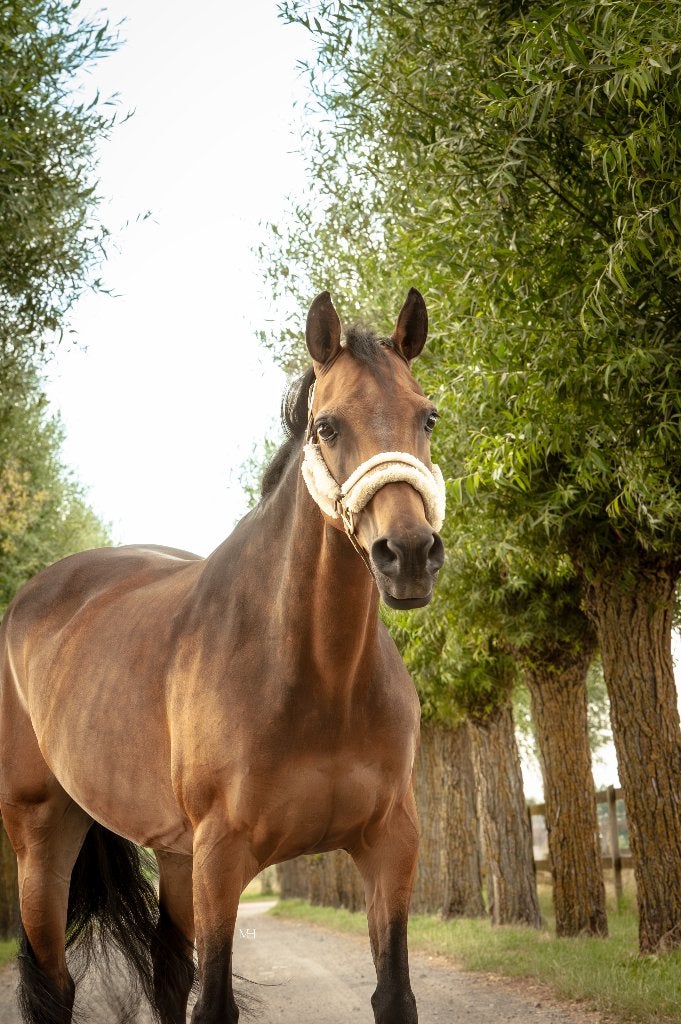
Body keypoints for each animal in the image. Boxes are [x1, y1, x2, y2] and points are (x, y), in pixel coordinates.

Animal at [0, 288, 445, 1024]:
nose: (408, 555)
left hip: (175, 856)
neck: (317, 678)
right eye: (327, 426)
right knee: (56, 985)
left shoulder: (390, 845)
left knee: (166, 975)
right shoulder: (222, 856)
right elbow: (212, 1004)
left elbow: (394, 994)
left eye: (427, 416)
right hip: (43, 835)